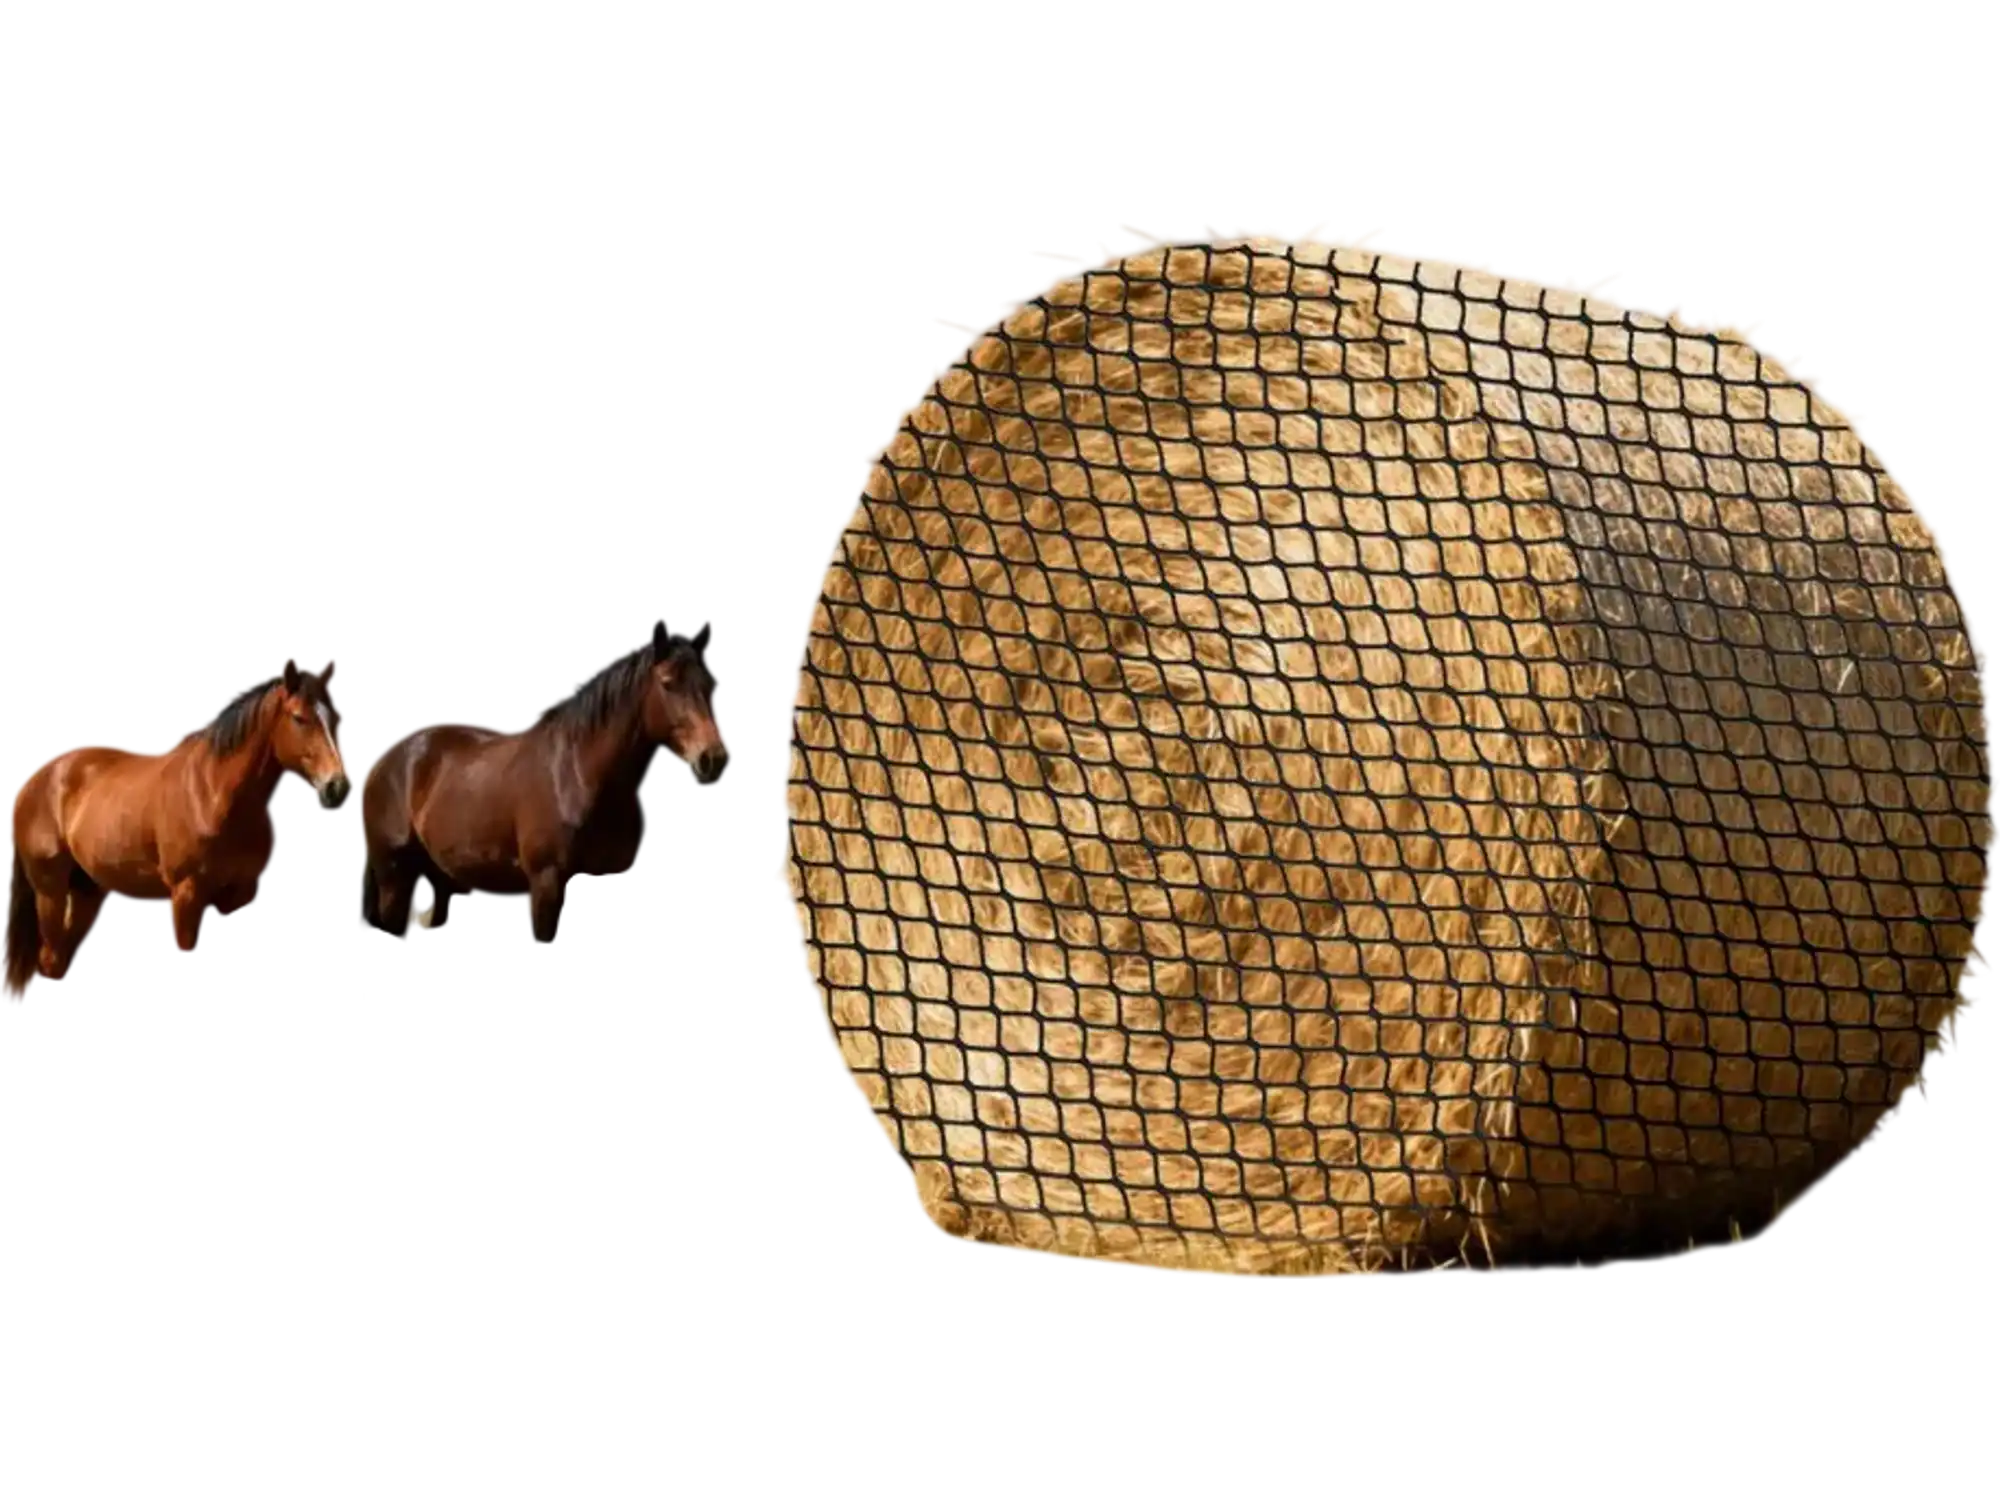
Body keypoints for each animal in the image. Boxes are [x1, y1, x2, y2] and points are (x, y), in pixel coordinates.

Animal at [2, 657, 353, 1003]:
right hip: (50, 890)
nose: (338, 786)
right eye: (299, 718)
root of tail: (33, 781)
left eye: (337, 718)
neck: (212, 792)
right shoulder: (186, 895)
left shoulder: (239, 891)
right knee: (50, 955)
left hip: (85, 888)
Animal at [359, 625, 729, 943]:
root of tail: (382, 763)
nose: (713, 755)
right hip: (394, 880)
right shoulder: (546, 886)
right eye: (668, 683)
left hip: (443, 878)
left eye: (710, 683)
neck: (576, 772)